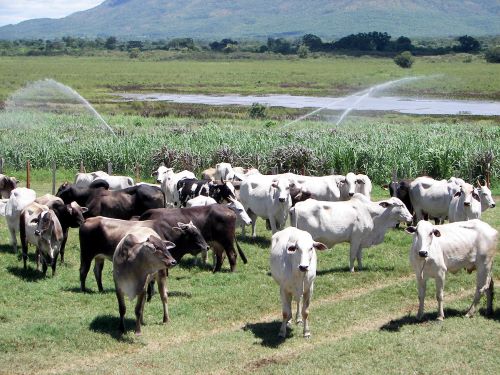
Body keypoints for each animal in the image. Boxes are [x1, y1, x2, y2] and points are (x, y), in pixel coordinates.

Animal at [80, 216, 209, 292]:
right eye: (194, 233)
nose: (207, 246)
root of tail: (87, 220)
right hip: (86, 254)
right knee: (83, 270)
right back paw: (84, 289)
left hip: (99, 257)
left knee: (97, 271)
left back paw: (101, 289)